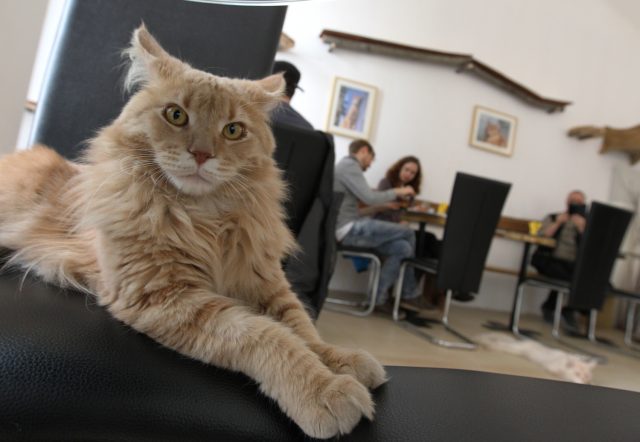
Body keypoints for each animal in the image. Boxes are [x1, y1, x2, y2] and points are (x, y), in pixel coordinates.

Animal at [0, 26, 384, 438]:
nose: (202, 154)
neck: (205, 218)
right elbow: (270, 336)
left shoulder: (265, 282)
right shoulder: (168, 296)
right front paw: (322, 389)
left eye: (233, 130)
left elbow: (304, 330)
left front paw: (342, 360)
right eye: (176, 115)